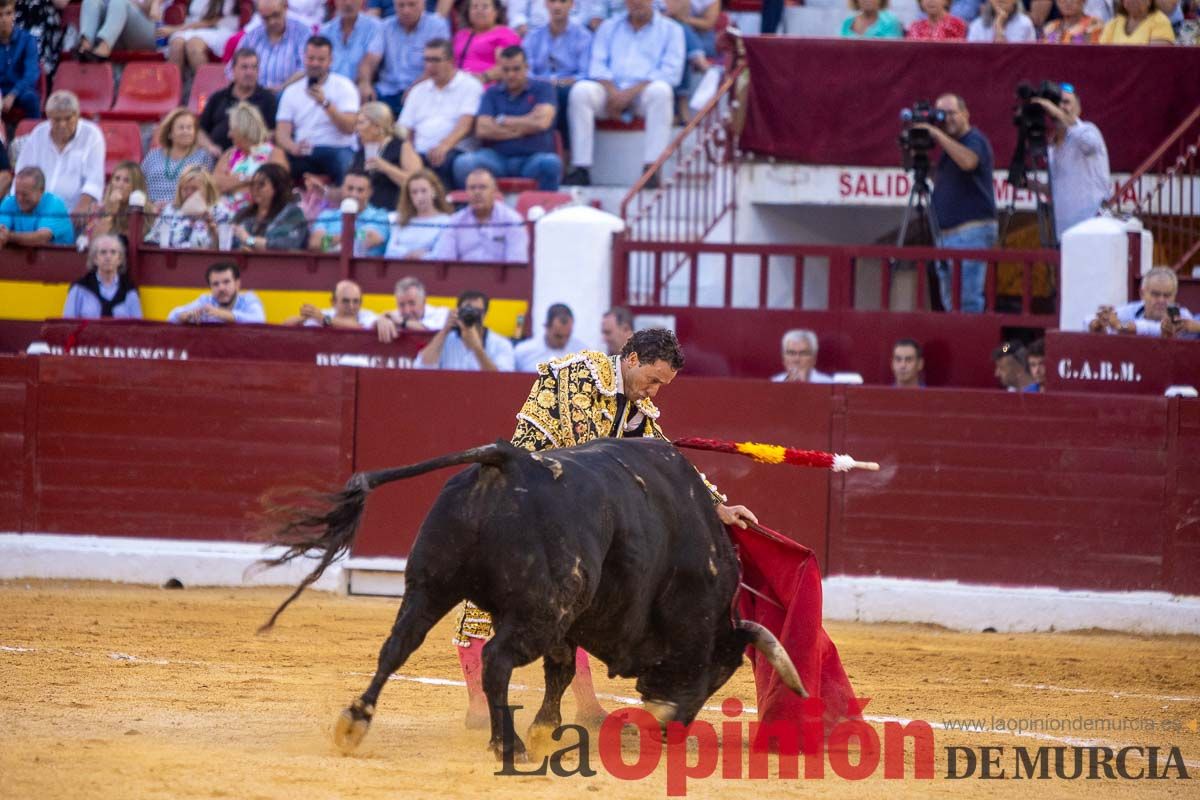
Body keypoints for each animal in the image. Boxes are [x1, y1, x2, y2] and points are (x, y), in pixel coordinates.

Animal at [262, 434, 806, 762]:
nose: (675, 730)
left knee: (397, 646)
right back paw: (509, 745)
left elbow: (560, 670)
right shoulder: (568, 615)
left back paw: (355, 721)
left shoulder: (570, 620)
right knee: (496, 661)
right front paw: (542, 731)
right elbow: (556, 669)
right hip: (535, 612)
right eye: (720, 670)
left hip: (429, 586)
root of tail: (507, 460)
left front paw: (549, 726)